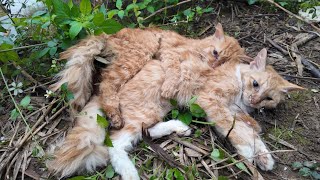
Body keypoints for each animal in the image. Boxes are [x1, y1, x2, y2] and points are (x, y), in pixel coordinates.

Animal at [46, 47, 304, 179]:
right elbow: (237, 132)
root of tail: (102, 92)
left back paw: (178, 127)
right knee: (115, 144)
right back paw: (130, 173)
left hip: (155, 110)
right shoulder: (212, 102)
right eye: (255, 84)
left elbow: (251, 132)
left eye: (269, 98)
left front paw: (264, 156)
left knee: (144, 133)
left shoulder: (236, 113)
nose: (254, 100)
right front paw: (249, 153)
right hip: (145, 110)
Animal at [49, 23, 248, 128]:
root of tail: (112, 35)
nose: (213, 65)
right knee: (106, 84)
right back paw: (115, 116)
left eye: (223, 62)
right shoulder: (170, 52)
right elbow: (175, 71)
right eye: (215, 53)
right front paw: (168, 88)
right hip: (142, 51)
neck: (197, 48)